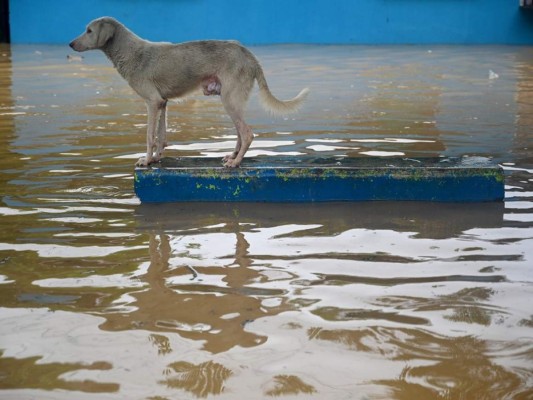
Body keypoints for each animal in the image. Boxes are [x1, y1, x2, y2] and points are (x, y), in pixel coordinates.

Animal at [71, 16, 312, 167]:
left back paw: (236, 163)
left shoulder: (152, 102)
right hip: (231, 101)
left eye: (89, 31)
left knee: (247, 133)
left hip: (230, 100)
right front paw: (156, 159)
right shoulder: (162, 102)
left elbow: (149, 136)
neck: (131, 53)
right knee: (240, 134)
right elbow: (161, 135)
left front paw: (146, 160)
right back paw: (232, 157)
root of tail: (249, 55)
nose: (71, 44)